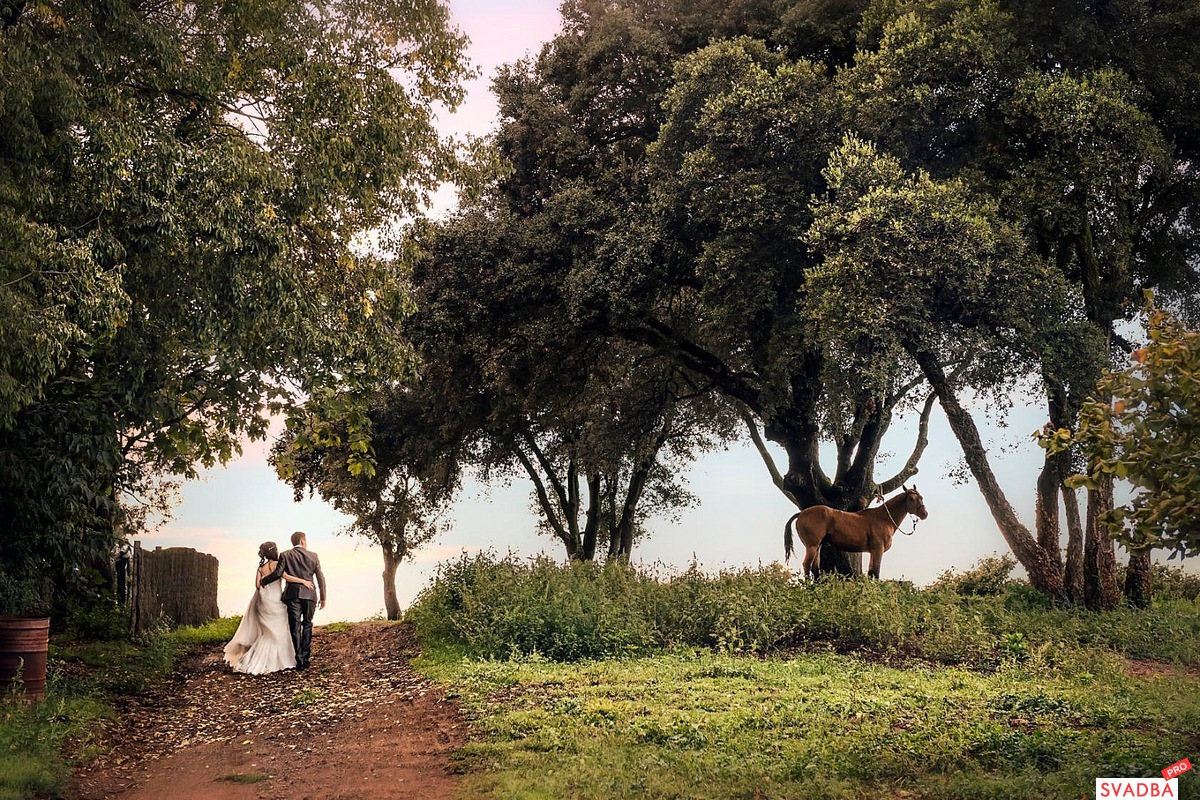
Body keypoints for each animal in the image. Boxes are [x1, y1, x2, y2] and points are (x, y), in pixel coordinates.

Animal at [787, 484, 926, 578]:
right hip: (812, 546)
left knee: (814, 568)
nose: (925, 514)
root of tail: (801, 513)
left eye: (921, 497)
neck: (883, 518)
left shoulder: (873, 552)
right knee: (807, 565)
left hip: (817, 547)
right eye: (911, 499)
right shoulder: (878, 550)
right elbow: (876, 572)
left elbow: (871, 572)